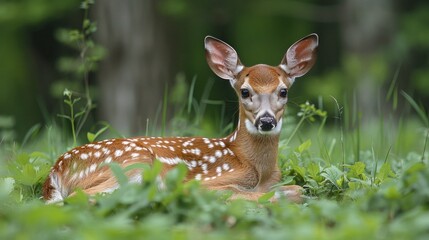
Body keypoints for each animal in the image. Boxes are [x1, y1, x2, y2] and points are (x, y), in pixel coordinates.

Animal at [42, 32, 318, 203]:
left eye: (283, 91)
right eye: (245, 91)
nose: (266, 121)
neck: (256, 167)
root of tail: (56, 170)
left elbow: (294, 188)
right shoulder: (210, 179)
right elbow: (245, 193)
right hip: (133, 163)